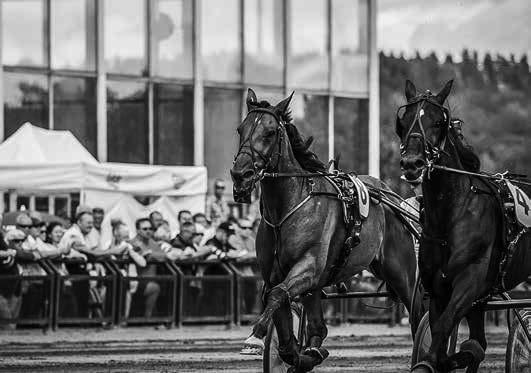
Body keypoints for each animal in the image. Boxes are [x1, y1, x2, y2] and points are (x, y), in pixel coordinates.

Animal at [231, 88, 422, 370]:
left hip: (402, 272)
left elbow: (277, 296)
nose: (240, 175)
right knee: (318, 326)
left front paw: (256, 334)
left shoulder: (309, 266)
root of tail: (391, 196)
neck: (289, 207)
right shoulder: (278, 275)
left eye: (270, 132)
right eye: (240, 129)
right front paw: (296, 354)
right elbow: (280, 309)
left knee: (418, 312)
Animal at [396, 80, 531, 370]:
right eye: (404, 120)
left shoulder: (471, 281)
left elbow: (446, 329)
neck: (453, 215)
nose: (412, 163)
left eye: (439, 122)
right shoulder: (439, 289)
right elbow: (457, 343)